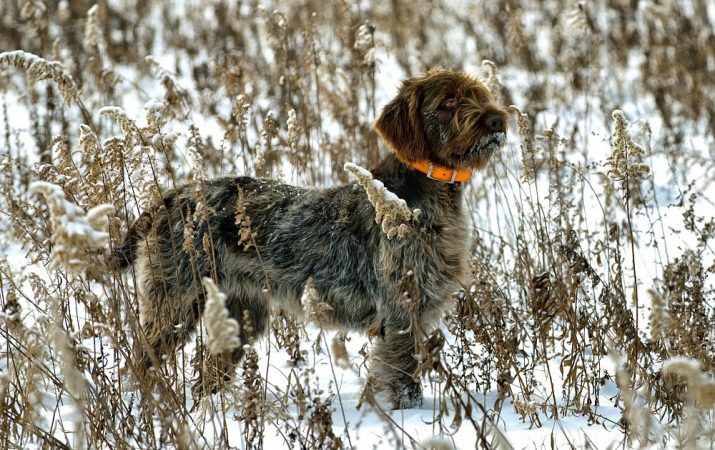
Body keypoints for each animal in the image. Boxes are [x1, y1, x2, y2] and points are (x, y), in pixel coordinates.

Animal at [116, 68, 509, 409]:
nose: (498, 120)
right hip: (175, 306)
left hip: (238, 316)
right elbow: (402, 381)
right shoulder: (400, 314)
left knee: (207, 373)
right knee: (141, 364)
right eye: (449, 102)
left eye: (479, 94)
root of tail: (171, 197)